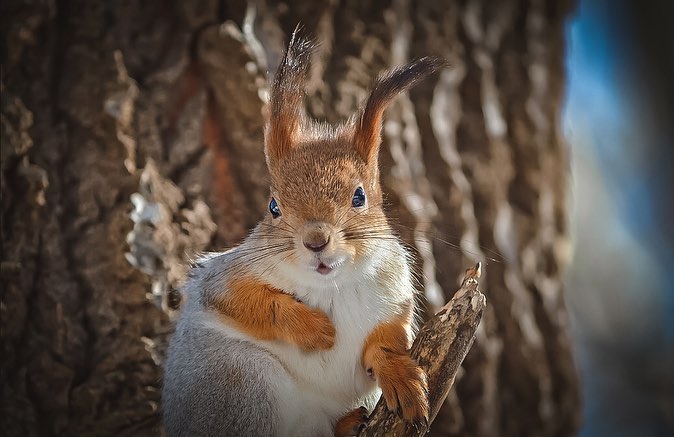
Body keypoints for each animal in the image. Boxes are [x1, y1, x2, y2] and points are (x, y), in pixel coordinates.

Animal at [162, 29, 445, 437]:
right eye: (273, 206)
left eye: (359, 196)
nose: (316, 241)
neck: (331, 286)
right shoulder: (224, 277)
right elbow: (243, 301)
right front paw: (314, 329)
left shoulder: (395, 292)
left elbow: (388, 339)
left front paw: (398, 373)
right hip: (242, 381)